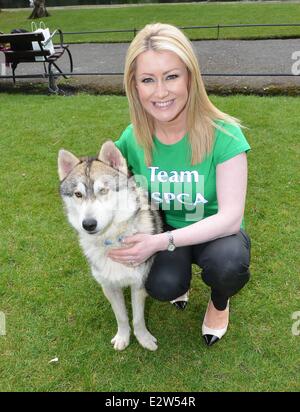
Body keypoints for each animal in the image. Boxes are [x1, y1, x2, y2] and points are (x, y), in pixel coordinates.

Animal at [57, 142, 163, 350]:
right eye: (78, 194)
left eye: (103, 190)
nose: (88, 224)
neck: (112, 240)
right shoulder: (108, 286)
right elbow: (121, 316)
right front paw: (123, 337)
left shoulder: (139, 283)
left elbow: (138, 319)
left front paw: (144, 339)